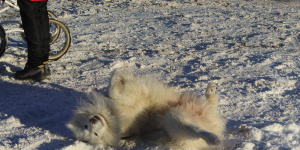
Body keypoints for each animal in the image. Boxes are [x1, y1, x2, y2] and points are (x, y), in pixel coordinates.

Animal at [66, 69, 225, 149]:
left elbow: (112, 88)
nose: (92, 122)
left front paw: (117, 72)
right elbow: (114, 91)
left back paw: (210, 91)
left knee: (211, 105)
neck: (114, 117)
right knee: (197, 129)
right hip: (174, 118)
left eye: (86, 126)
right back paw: (213, 138)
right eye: (95, 134)